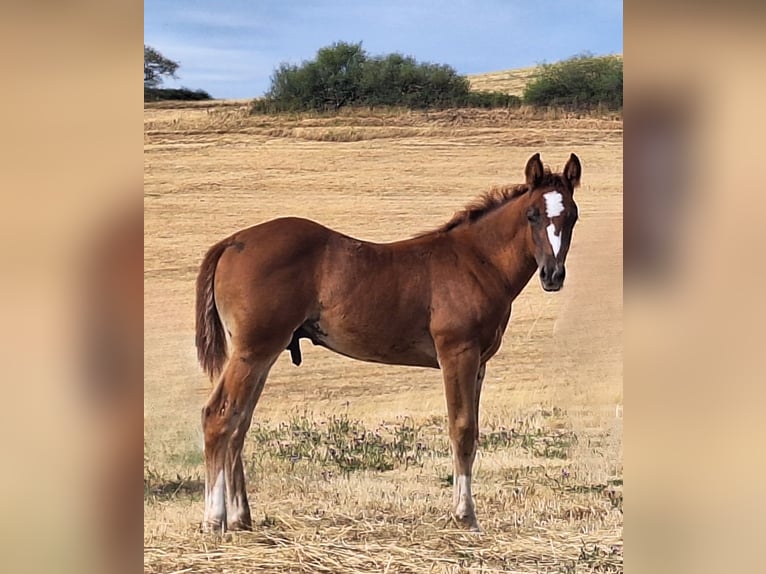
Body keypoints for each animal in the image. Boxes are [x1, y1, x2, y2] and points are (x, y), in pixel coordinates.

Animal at [195, 152, 581, 532]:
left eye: (573, 216)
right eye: (532, 214)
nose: (553, 275)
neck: (476, 261)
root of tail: (231, 243)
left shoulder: (480, 363)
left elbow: (472, 433)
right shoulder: (458, 354)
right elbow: (461, 429)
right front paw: (465, 516)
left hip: (263, 352)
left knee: (240, 421)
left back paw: (242, 518)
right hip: (253, 351)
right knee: (219, 415)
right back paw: (215, 520)